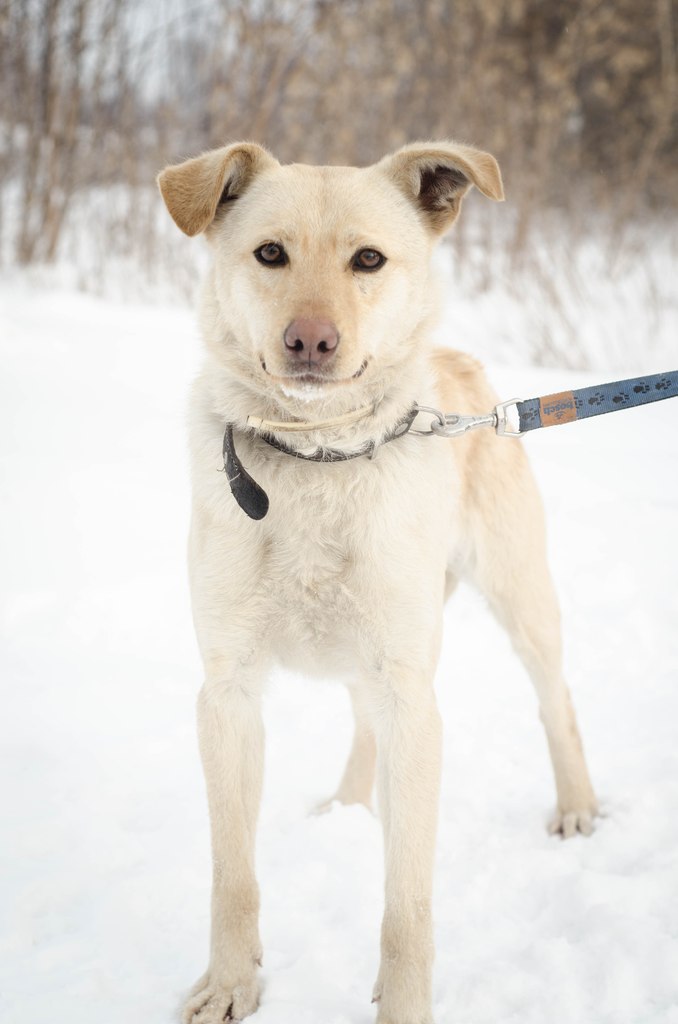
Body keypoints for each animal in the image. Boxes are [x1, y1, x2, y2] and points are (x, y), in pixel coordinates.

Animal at [156, 138, 598, 1024]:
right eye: (270, 254)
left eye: (368, 260)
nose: (311, 342)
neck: (317, 457)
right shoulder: (228, 695)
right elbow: (233, 873)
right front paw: (231, 982)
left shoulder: (413, 700)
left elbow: (407, 902)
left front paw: (402, 1005)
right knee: (363, 730)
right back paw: (349, 806)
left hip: (516, 598)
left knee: (554, 698)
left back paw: (575, 805)